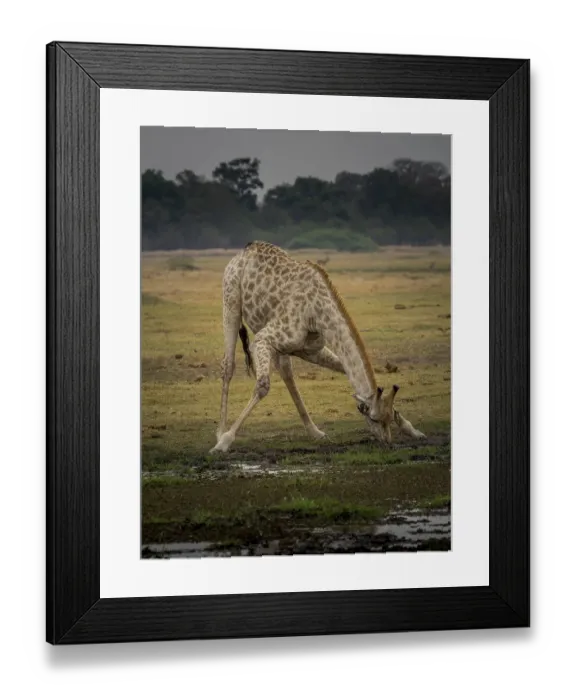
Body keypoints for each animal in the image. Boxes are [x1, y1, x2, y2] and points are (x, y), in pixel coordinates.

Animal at [210, 241, 426, 453]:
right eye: (373, 419)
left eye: (389, 417)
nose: (387, 442)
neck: (316, 313)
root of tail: (244, 250)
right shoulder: (262, 339)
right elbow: (263, 386)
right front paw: (224, 442)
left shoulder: (310, 350)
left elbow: (342, 368)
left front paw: (414, 431)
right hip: (231, 301)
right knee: (228, 366)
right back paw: (220, 433)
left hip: (278, 344)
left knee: (286, 372)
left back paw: (315, 431)